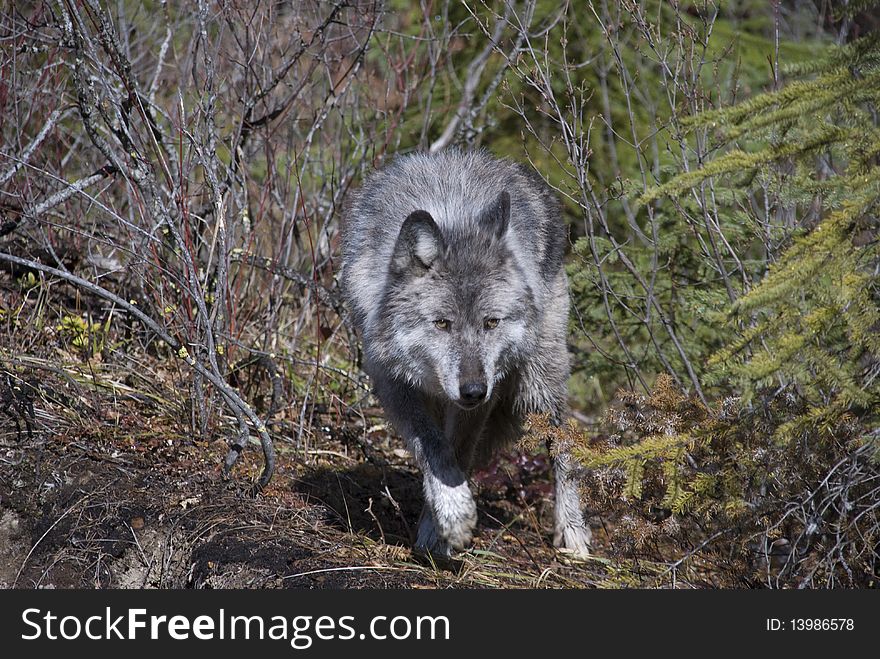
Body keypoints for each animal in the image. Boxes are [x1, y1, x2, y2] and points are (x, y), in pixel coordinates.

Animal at [340, 150, 596, 556]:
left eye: (491, 322)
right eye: (442, 323)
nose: (473, 391)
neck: (452, 217)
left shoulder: (484, 397)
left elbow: (458, 451)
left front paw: (440, 528)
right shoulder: (393, 383)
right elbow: (434, 448)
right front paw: (447, 514)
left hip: (539, 384)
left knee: (563, 445)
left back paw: (572, 532)